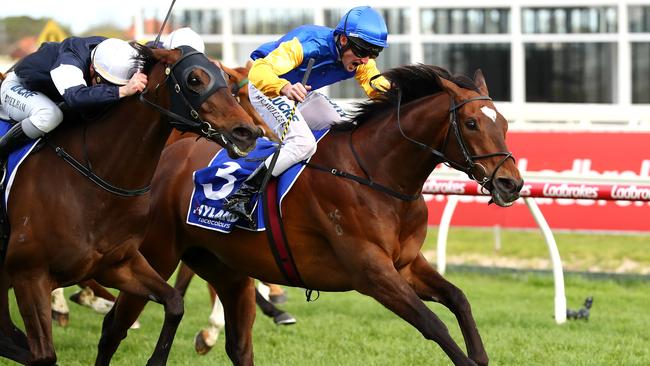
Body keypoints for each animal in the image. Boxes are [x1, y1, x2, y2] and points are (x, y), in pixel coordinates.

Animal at [0, 44, 260, 364]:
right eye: (194, 79)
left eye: (225, 78)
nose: (247, 132)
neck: (94, 181)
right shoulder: (29, 275)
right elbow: (44, 355)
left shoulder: (118, 264)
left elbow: (174, 303)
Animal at [97, 64, 520, 364]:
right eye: (471, 123)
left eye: (503, 122)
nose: (511, 183)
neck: (376, 174)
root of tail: (162, 160)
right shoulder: (372, 273)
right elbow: (435, 326)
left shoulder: (406, 264)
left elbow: (459, 299)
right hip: (154, 255)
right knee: (113, 328)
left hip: (226, 268)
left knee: (239, 345)